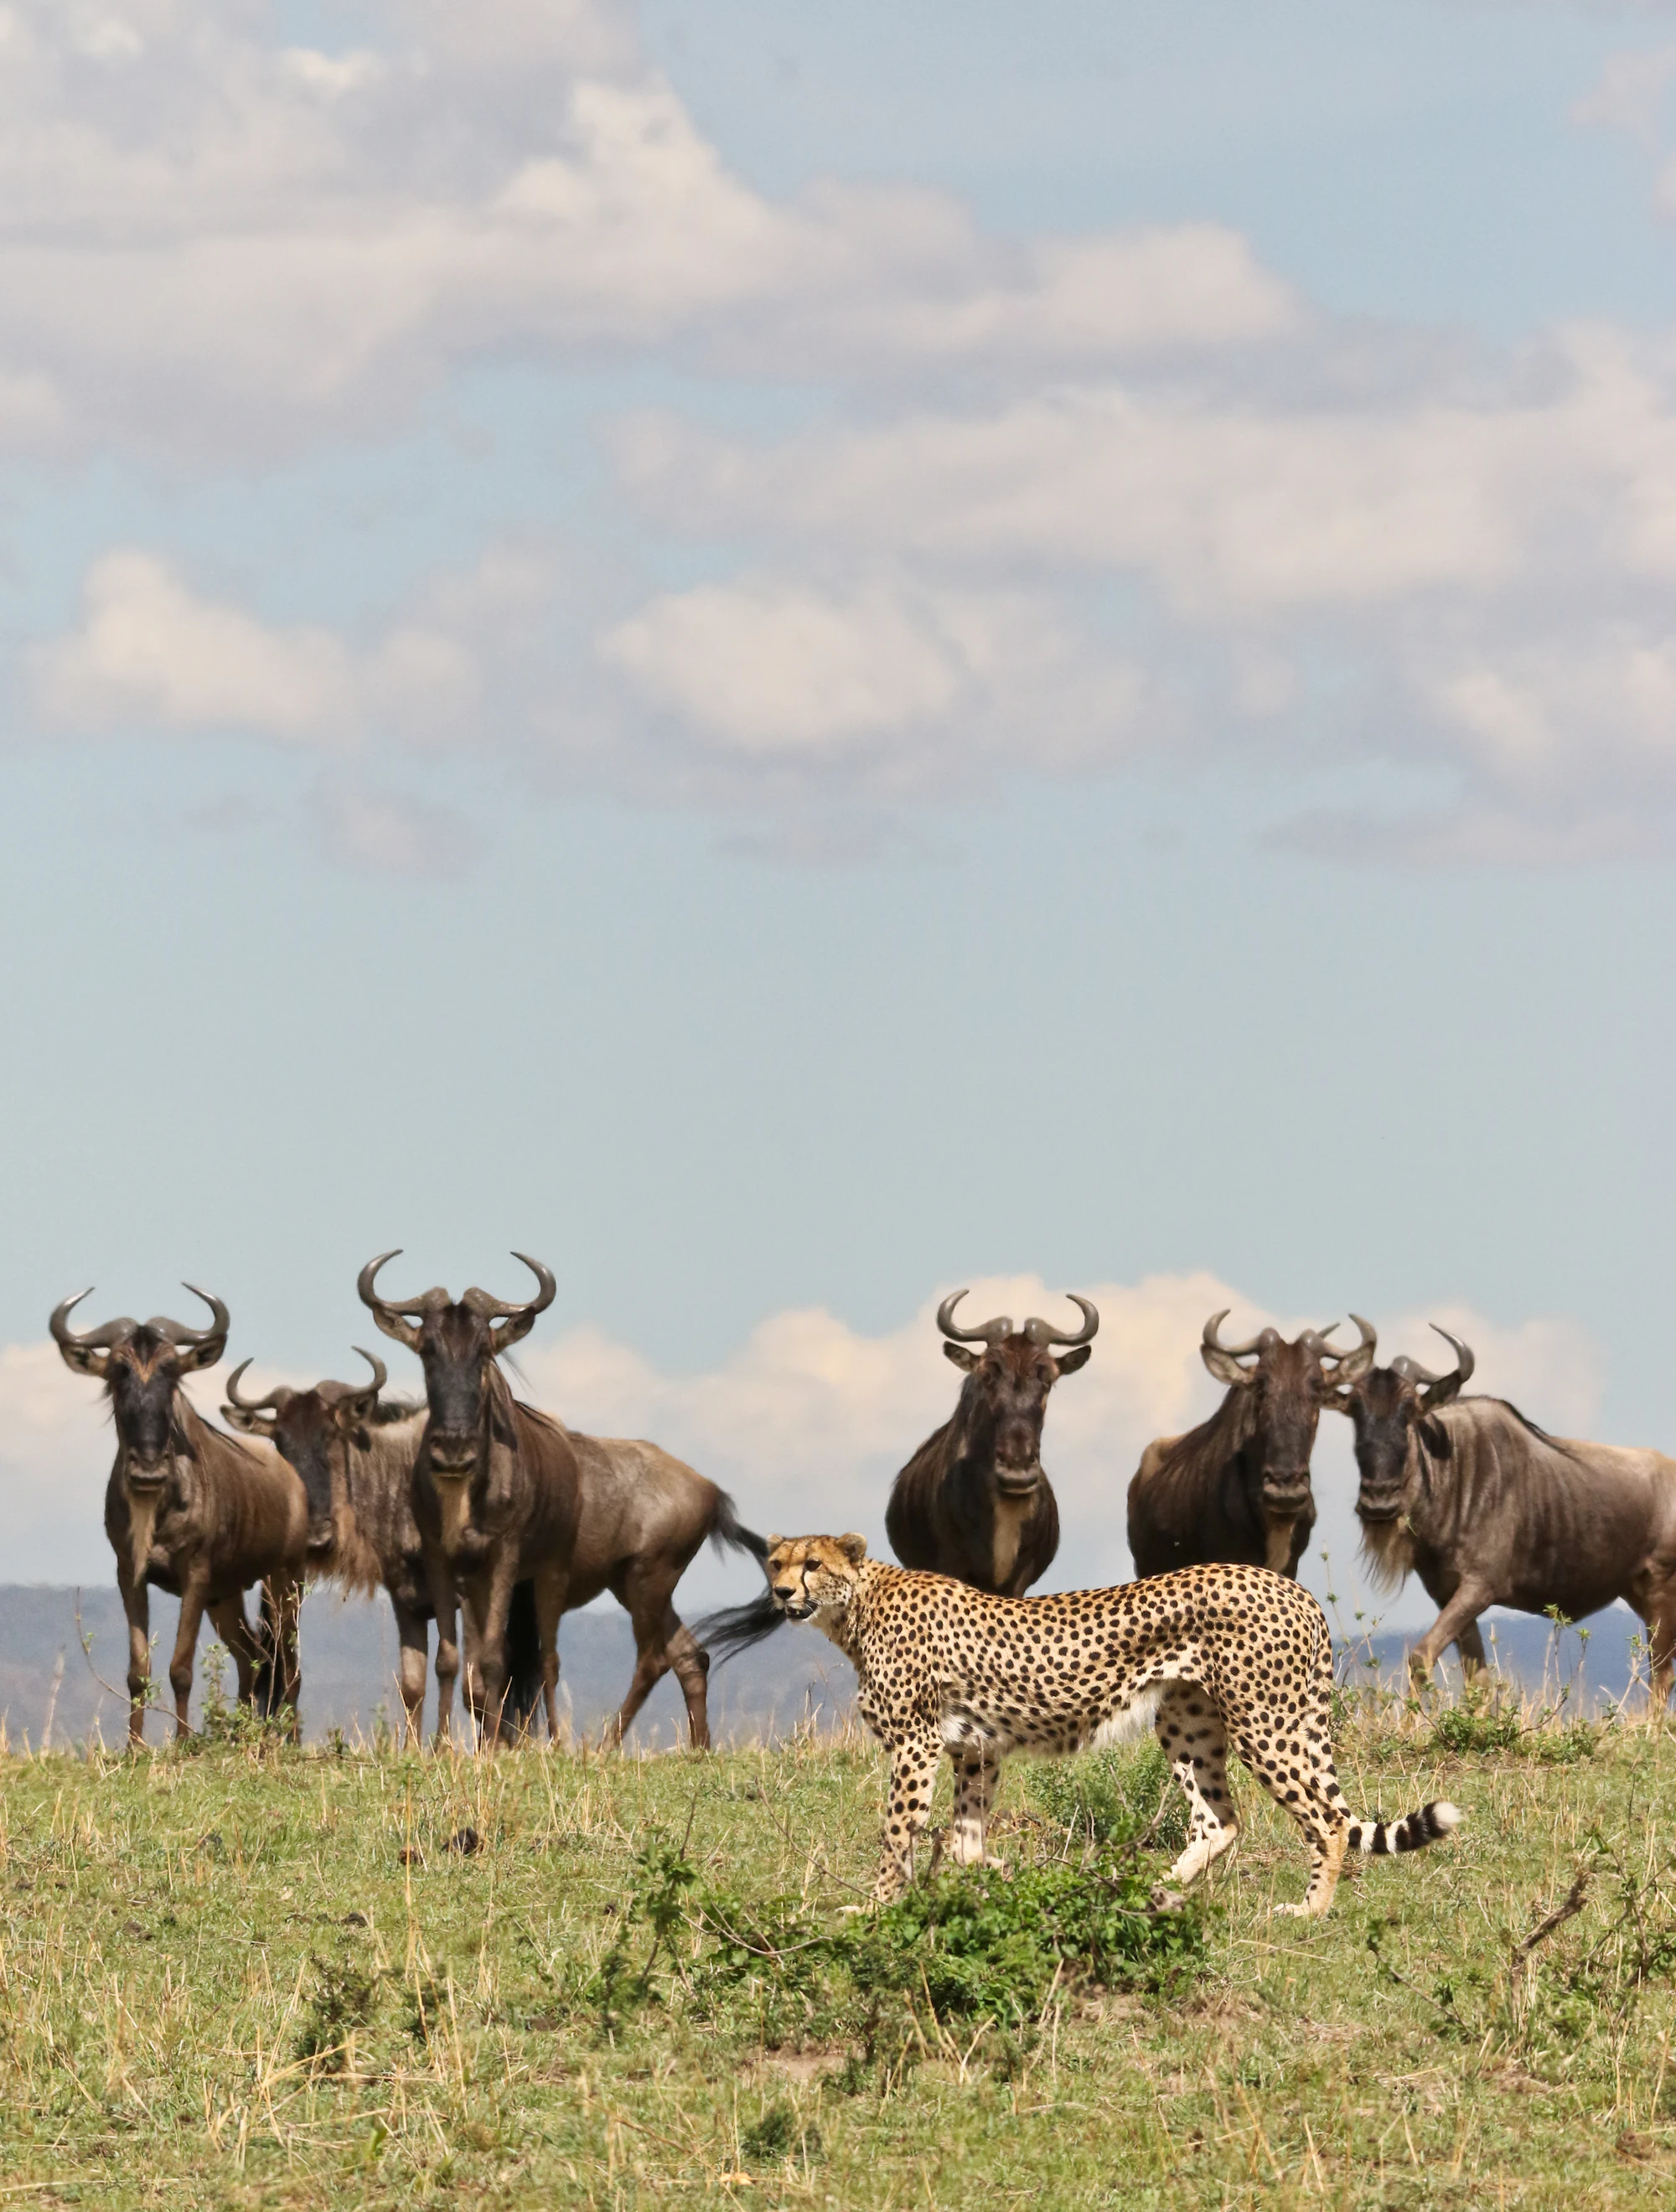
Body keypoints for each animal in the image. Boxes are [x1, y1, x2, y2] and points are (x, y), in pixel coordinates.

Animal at [763, 1533, 1461, 1916]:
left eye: (813, 1564)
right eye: (777, 1563)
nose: (780, 1594)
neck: (855, 1608)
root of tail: (1293, 1588)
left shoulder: (917, 1744)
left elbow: (896, 1834)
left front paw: (875, 1905)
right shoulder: (976, 1751)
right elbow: (964, 1842)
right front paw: (1003, 1876)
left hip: (1265, 1721)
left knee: (1328, 1819)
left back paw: (1311, 1909)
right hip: (1187, 1723)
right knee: (1221, 1820)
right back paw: (1150, 1890)